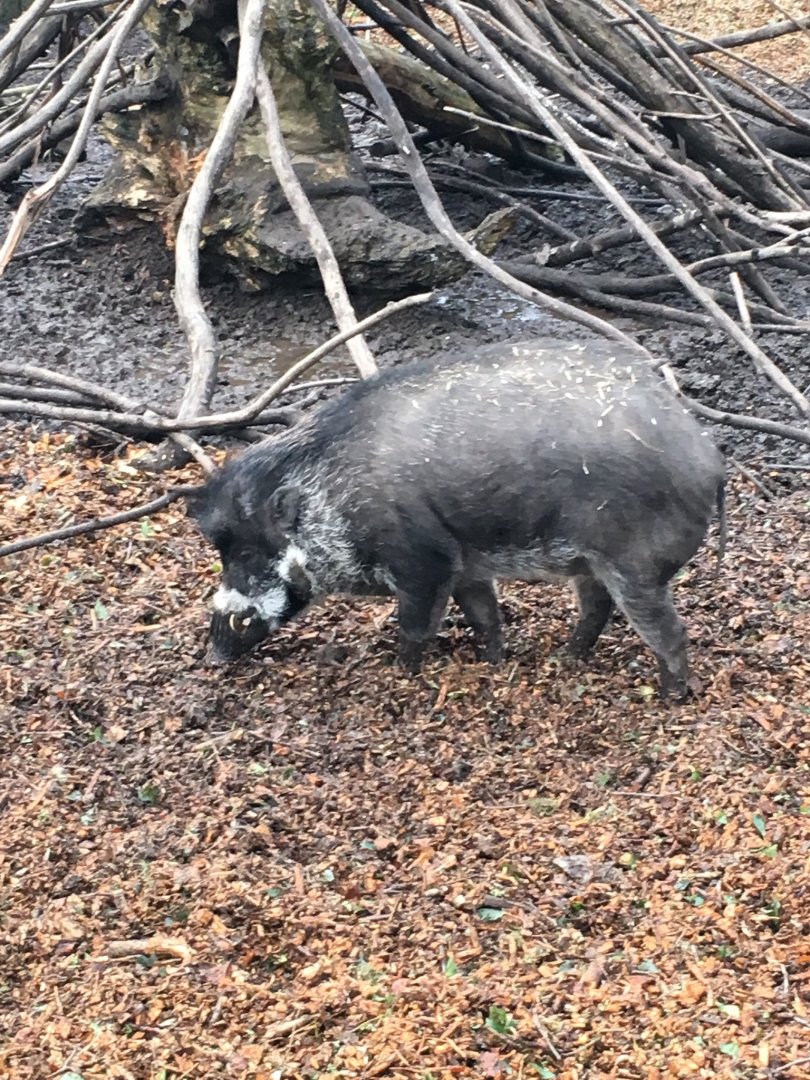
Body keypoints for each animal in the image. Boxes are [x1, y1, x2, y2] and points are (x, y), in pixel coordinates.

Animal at [186, 340, 726, 699]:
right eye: (223, 550)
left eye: (249, 549)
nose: (212, 656)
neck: (330, 496)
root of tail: (710, 459)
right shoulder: (467, 566)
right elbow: (485, 616)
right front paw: (494, 661)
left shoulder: (423, 563)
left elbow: (415, 627)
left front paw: (399, 673)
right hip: (593, 565)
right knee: (597, 609)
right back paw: (564, 658)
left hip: (635, 566)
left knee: (668, 632)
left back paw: (671, 696)